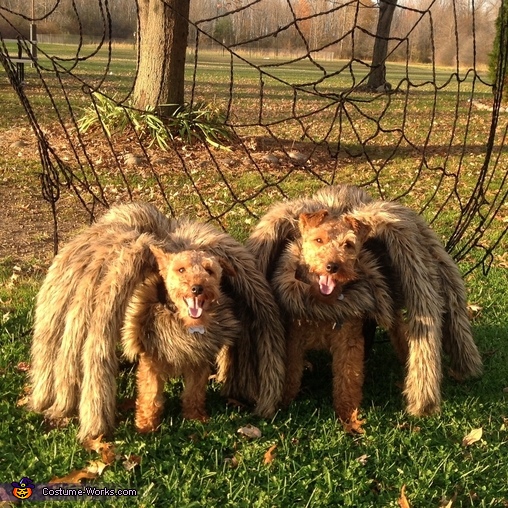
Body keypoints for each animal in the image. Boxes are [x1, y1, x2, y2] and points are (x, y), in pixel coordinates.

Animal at [30, 202, 286, 440]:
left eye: (210, 270)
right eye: (181, 270)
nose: (197, 288)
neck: (185, 326)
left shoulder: (198, 362)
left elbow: (193, 394)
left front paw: (195, 417)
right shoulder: (150, 364)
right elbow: (150, 398)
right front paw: (146, 426)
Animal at [248, 185, 482, 422]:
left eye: (348, 244)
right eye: (319, 240)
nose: (333, 266)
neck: (324, 308)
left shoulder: (348, 342)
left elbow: (348, 379)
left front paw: (348, 414)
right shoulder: (295, 340)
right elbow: (291, 374)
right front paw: (282, 402)